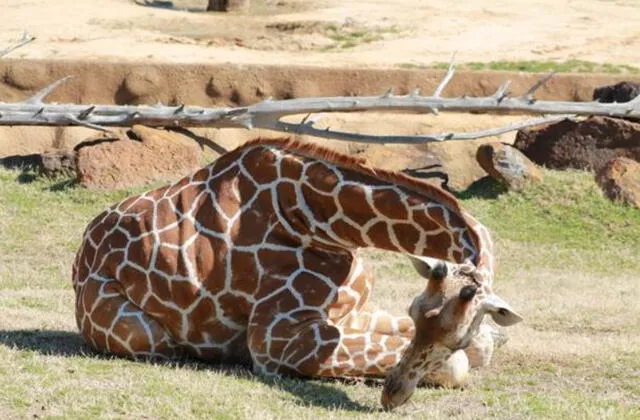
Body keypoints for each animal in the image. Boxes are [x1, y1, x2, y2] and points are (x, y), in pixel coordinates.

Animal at [71, 139, 520, 392]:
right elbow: (460, 366)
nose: (392, 397)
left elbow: (481, 346)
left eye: (455, 335)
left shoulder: (347, 313)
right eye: (416, 310)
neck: (321, 222)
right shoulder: (276, 338)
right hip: (141, 334)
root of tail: (80, 259)